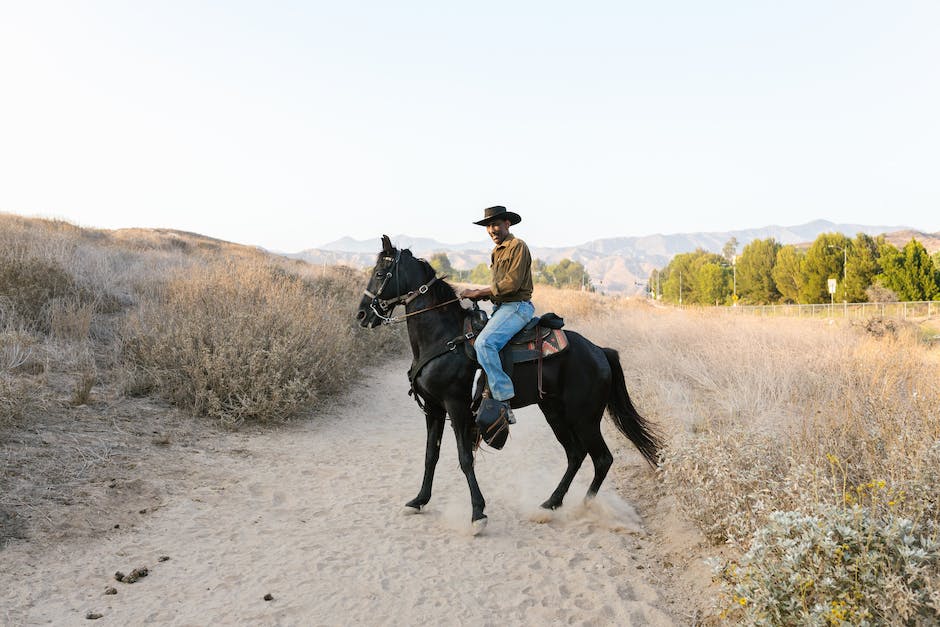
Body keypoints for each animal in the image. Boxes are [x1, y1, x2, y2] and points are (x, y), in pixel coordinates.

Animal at [356, 237, 656, 536]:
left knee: (602, 458)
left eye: (380, 273)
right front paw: (419, 500)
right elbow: (431, 455)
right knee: (575, 454)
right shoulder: (433, 408)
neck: (443, 338)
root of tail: (600, 351)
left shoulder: (456, 407)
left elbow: (465, 458)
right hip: (554, 412)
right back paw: (549, 504)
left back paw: (585, 507)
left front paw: (478, 514)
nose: (361, 314)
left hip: (584, 418)